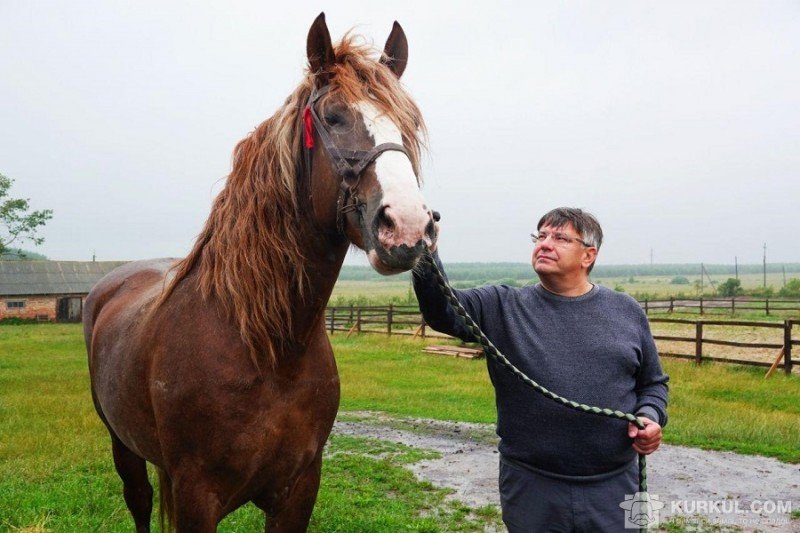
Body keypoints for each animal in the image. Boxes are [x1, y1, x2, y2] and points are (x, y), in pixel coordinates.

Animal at [84, 14, 434, 528]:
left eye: (408, 125)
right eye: (334, 117)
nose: (408, 226)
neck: (268, 349)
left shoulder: (298, 491)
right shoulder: (196, 496)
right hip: (121, 443)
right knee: (140, 502)